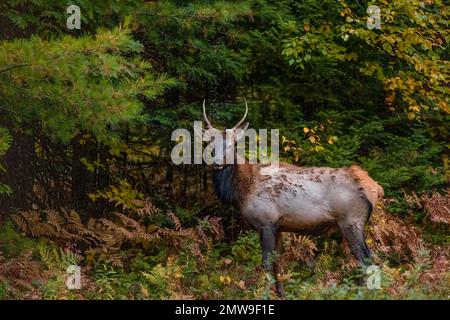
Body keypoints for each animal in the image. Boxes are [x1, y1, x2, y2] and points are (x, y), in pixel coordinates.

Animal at [200, 99, 384, 296]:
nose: (217, 163)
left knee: (364, 258)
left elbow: (266, 263)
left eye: (231, 145)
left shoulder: (266, 222)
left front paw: (266, 293)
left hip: (351, 221)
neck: (242, 191)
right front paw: (281, 292)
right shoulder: (279, 226)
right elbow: (278, 260)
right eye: (210, 145)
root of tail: (376, 188)